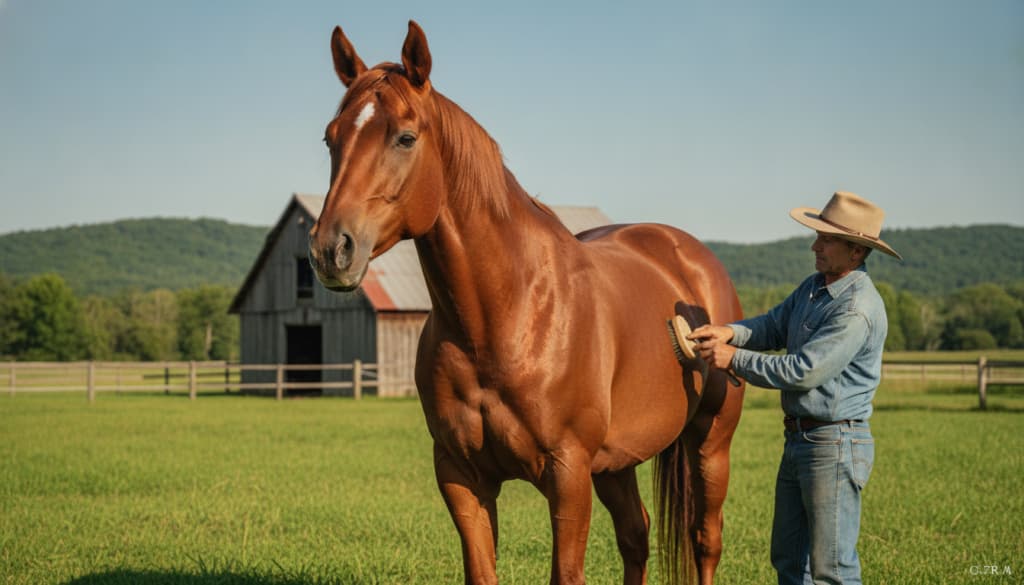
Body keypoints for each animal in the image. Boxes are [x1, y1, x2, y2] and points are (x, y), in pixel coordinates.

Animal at [308, 21, 745, 585]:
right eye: (331, 137)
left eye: (405, 137)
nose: (331, 250)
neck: (507, 318)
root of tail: (688, 256)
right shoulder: (461, 476)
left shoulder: (568, 475)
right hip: (617, 461)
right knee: (636, 534)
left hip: (710, 442)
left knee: (704, 540)